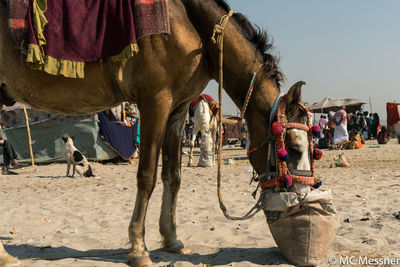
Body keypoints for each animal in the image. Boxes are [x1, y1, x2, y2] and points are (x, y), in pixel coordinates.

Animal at [0, 1, 310, 266]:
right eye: (294, 149)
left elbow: (173, 175)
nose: (302, 197)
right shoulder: (154, 100)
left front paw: (172, 240)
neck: (191, 25)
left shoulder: (178, 108)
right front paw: (139, 249)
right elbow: (147, 175)